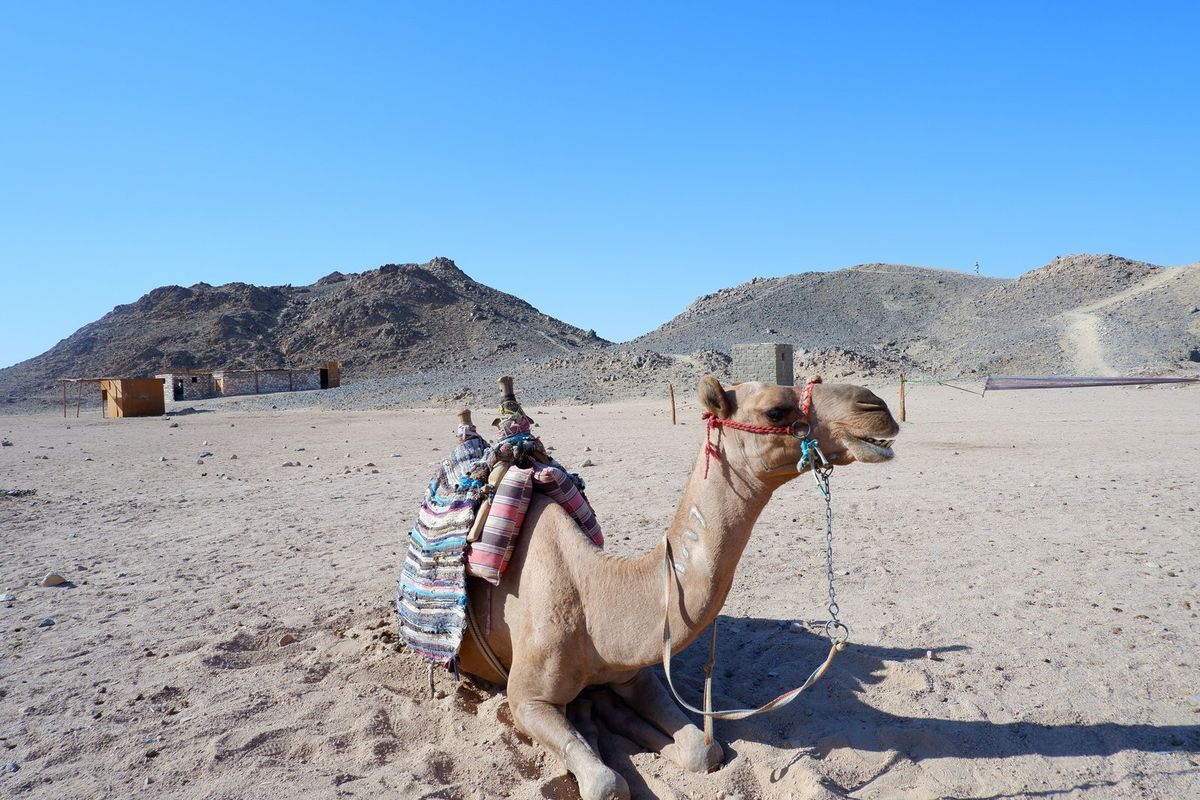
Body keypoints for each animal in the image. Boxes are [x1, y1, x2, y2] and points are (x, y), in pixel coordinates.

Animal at [456, 376, 900, 800]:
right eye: (776, 410)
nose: (876, 407)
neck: (595, 595)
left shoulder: (633, 674)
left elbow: (703, 750)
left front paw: (616, 718)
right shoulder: (526, 700)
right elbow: (606, 784)